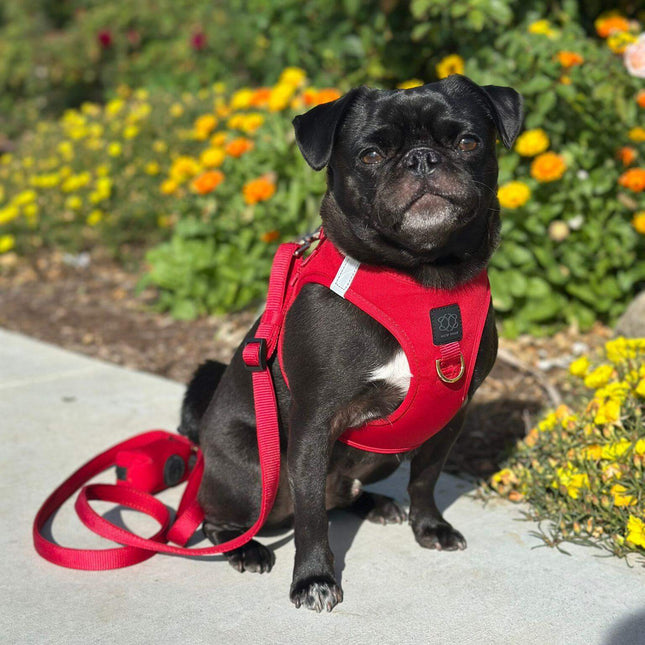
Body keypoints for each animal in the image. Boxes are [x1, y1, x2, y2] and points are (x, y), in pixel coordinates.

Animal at [179, 74, 520, 608]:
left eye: (468, 142)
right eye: (370, 155)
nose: (422, 158)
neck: (421, 279)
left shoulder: (450, 418)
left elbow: (426, 479)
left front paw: (429, 527)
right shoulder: (315, 424)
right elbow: (310, 519)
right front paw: (314, 578)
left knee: (341, 497)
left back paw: (377, 504)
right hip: (253, 472)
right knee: (224, 518)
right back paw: (245, 548)